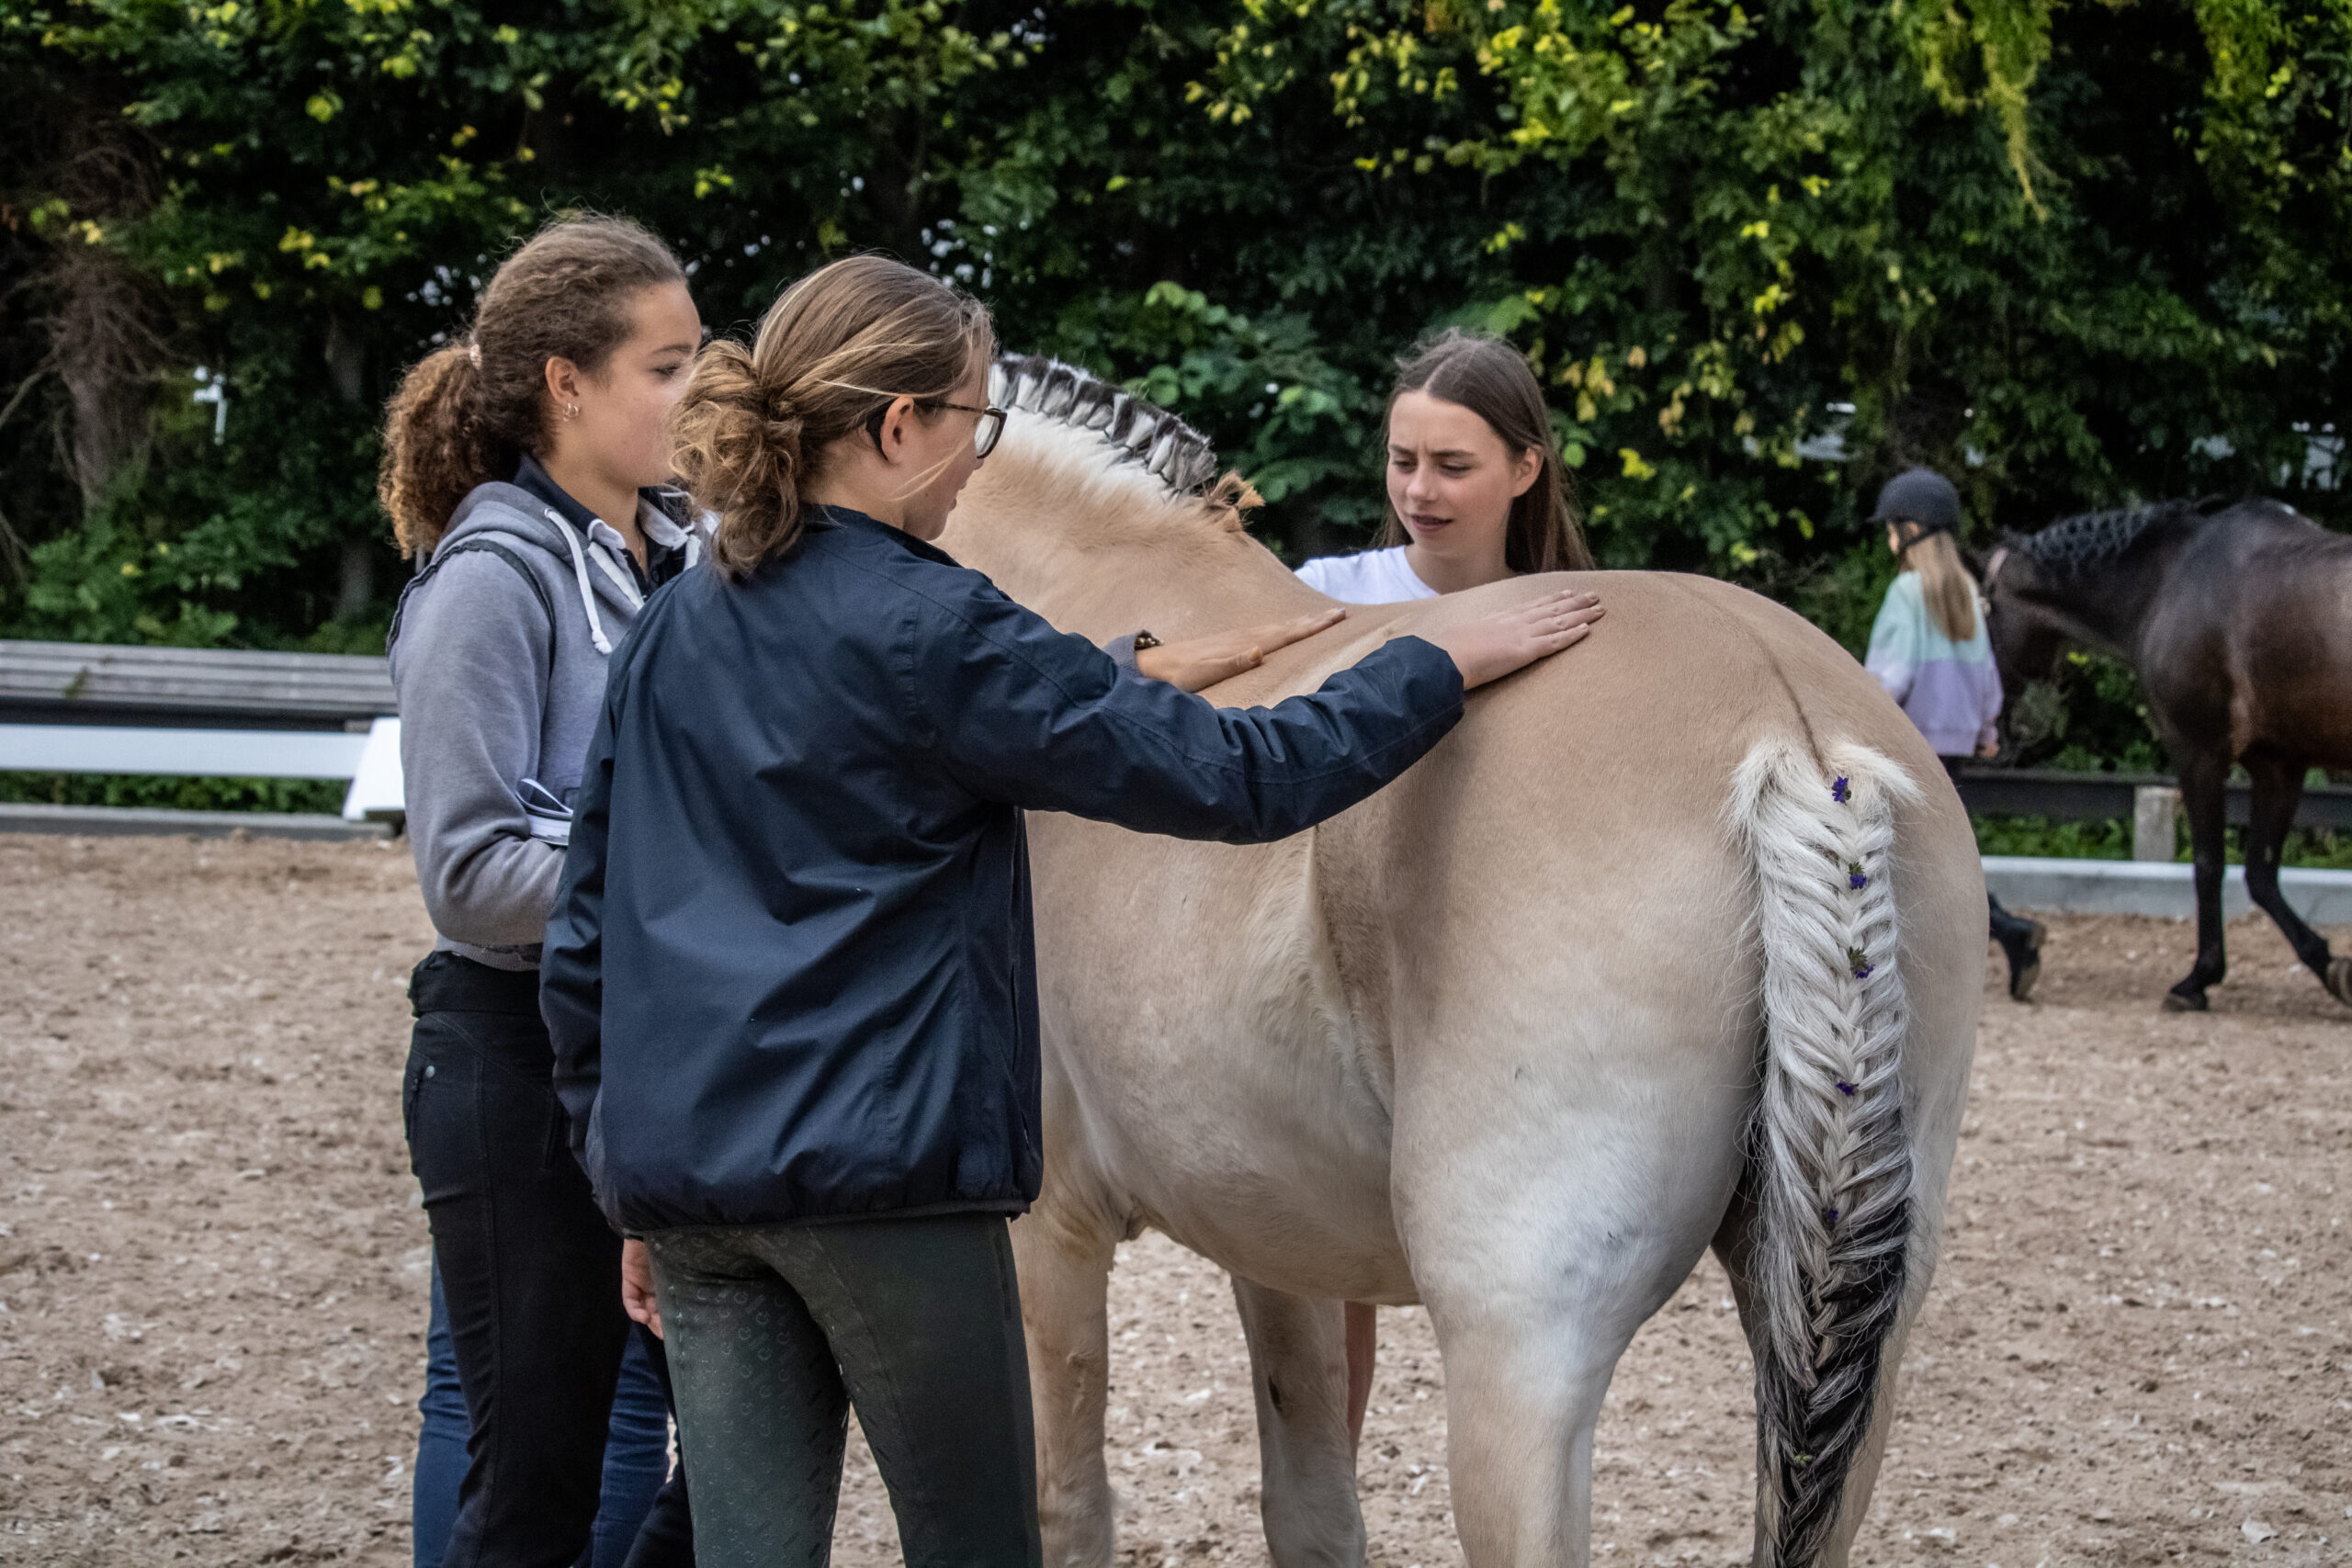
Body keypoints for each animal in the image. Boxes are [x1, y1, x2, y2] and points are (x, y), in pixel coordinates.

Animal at [939, 356, 1986, 1568]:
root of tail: (1796, 733)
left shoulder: (1049, 1237)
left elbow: (1068, 1510)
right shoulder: (1270, 1234)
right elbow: (1312, 1507)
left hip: (1516, 1349)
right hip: (1853, 1339)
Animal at [1980, 498, 2352, 1012]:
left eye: (1980, 614)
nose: (1995, 725)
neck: (2168, 581)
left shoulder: (2198, 754)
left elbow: (2209, 864)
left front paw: (2198, 978)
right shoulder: (2277, 765)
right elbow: (2260, 874)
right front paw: (2329, 964)